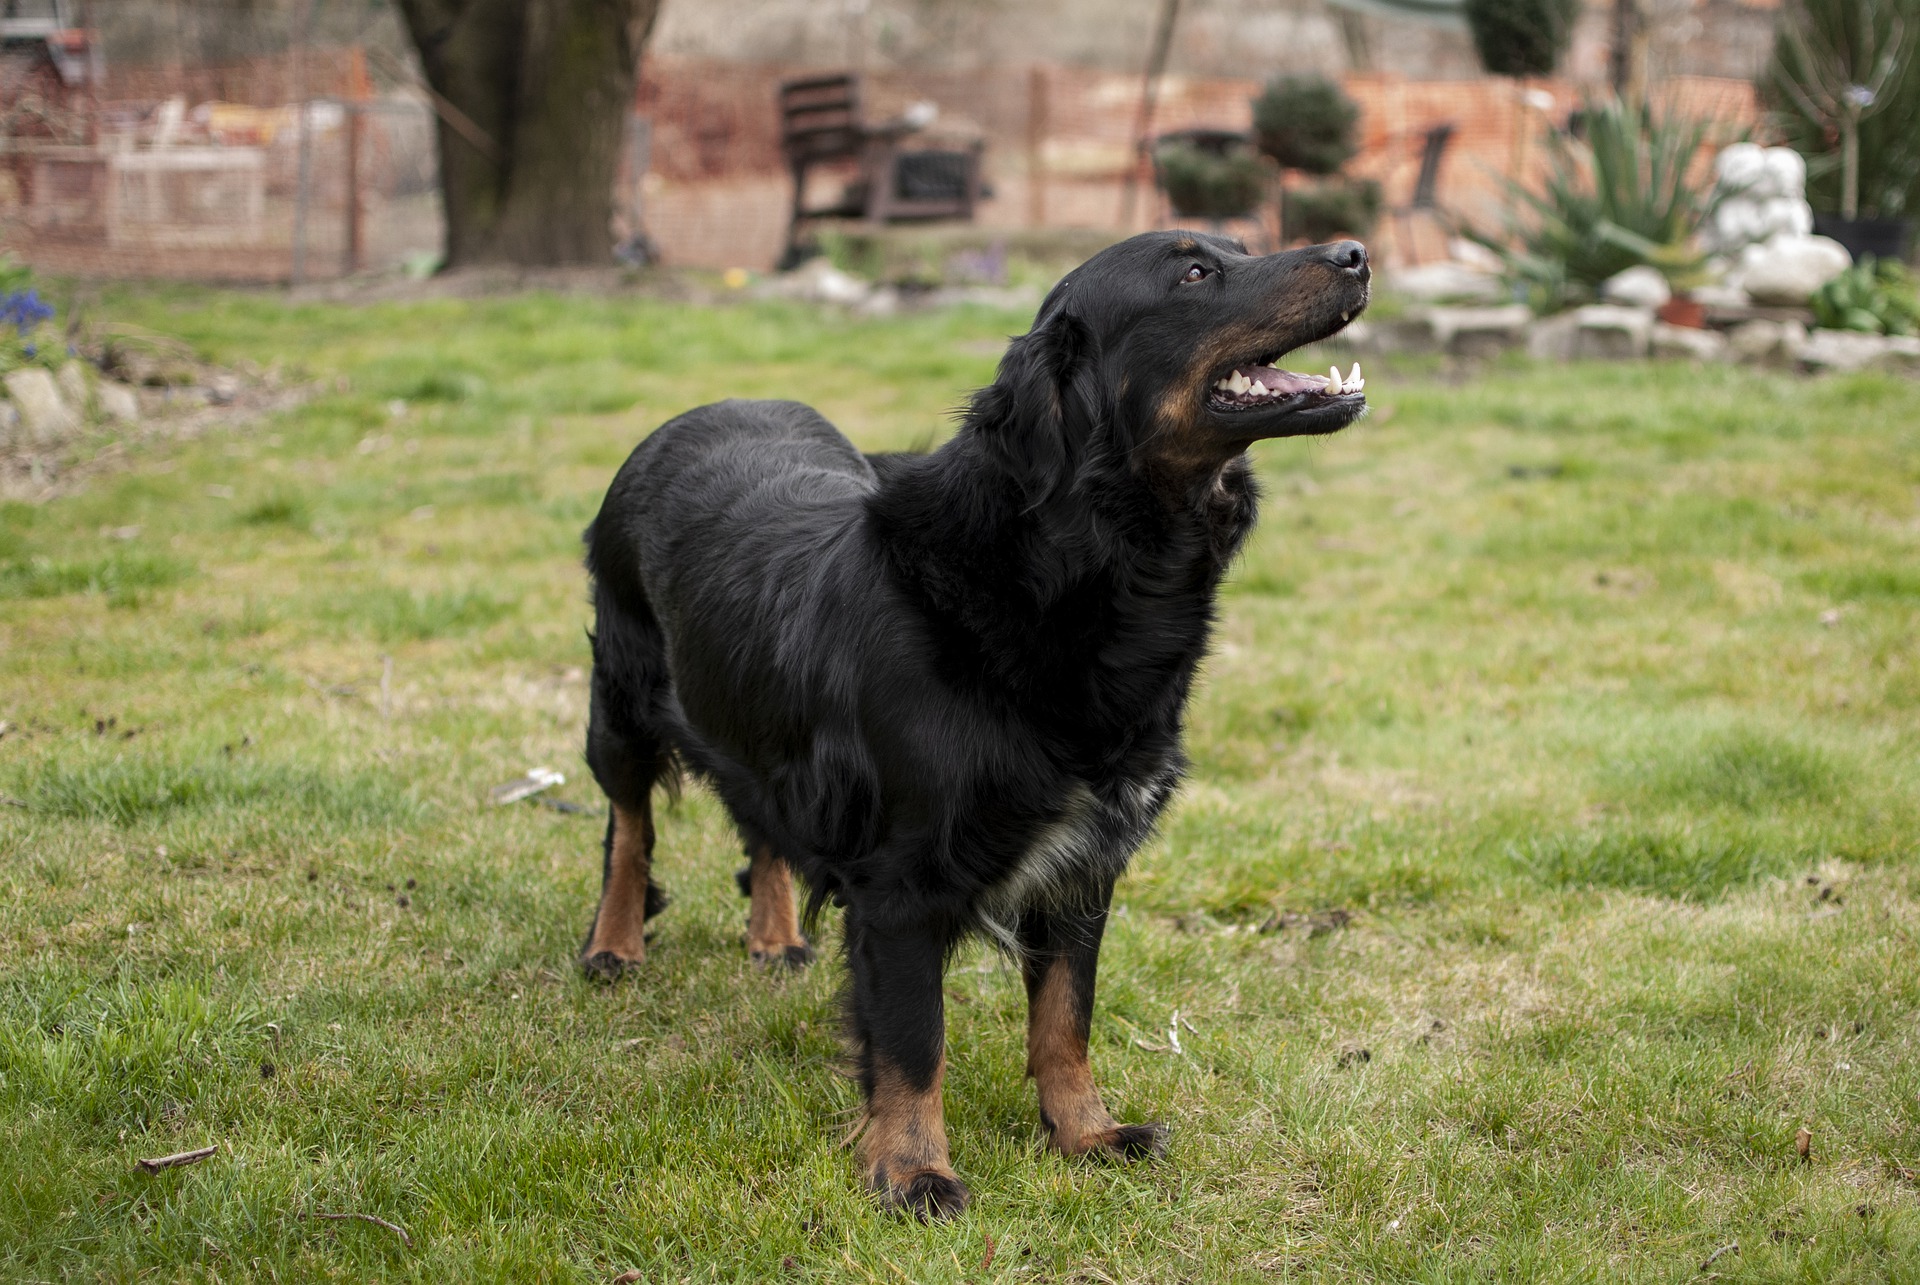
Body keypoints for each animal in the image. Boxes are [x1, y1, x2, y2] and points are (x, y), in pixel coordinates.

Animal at [576, 227, 1374, 1213]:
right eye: (1195, 272)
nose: (1357, 252)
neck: (1068, 568)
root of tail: (694, 413)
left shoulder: (1083, 864)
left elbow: (1066, 1016)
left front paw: (1085, 1133)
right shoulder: (902, 882)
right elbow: (915, 1039)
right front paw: (912, 1169)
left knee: (759, 818)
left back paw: (775, 934)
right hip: (619, 699)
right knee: (629, 825)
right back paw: (614, 944)